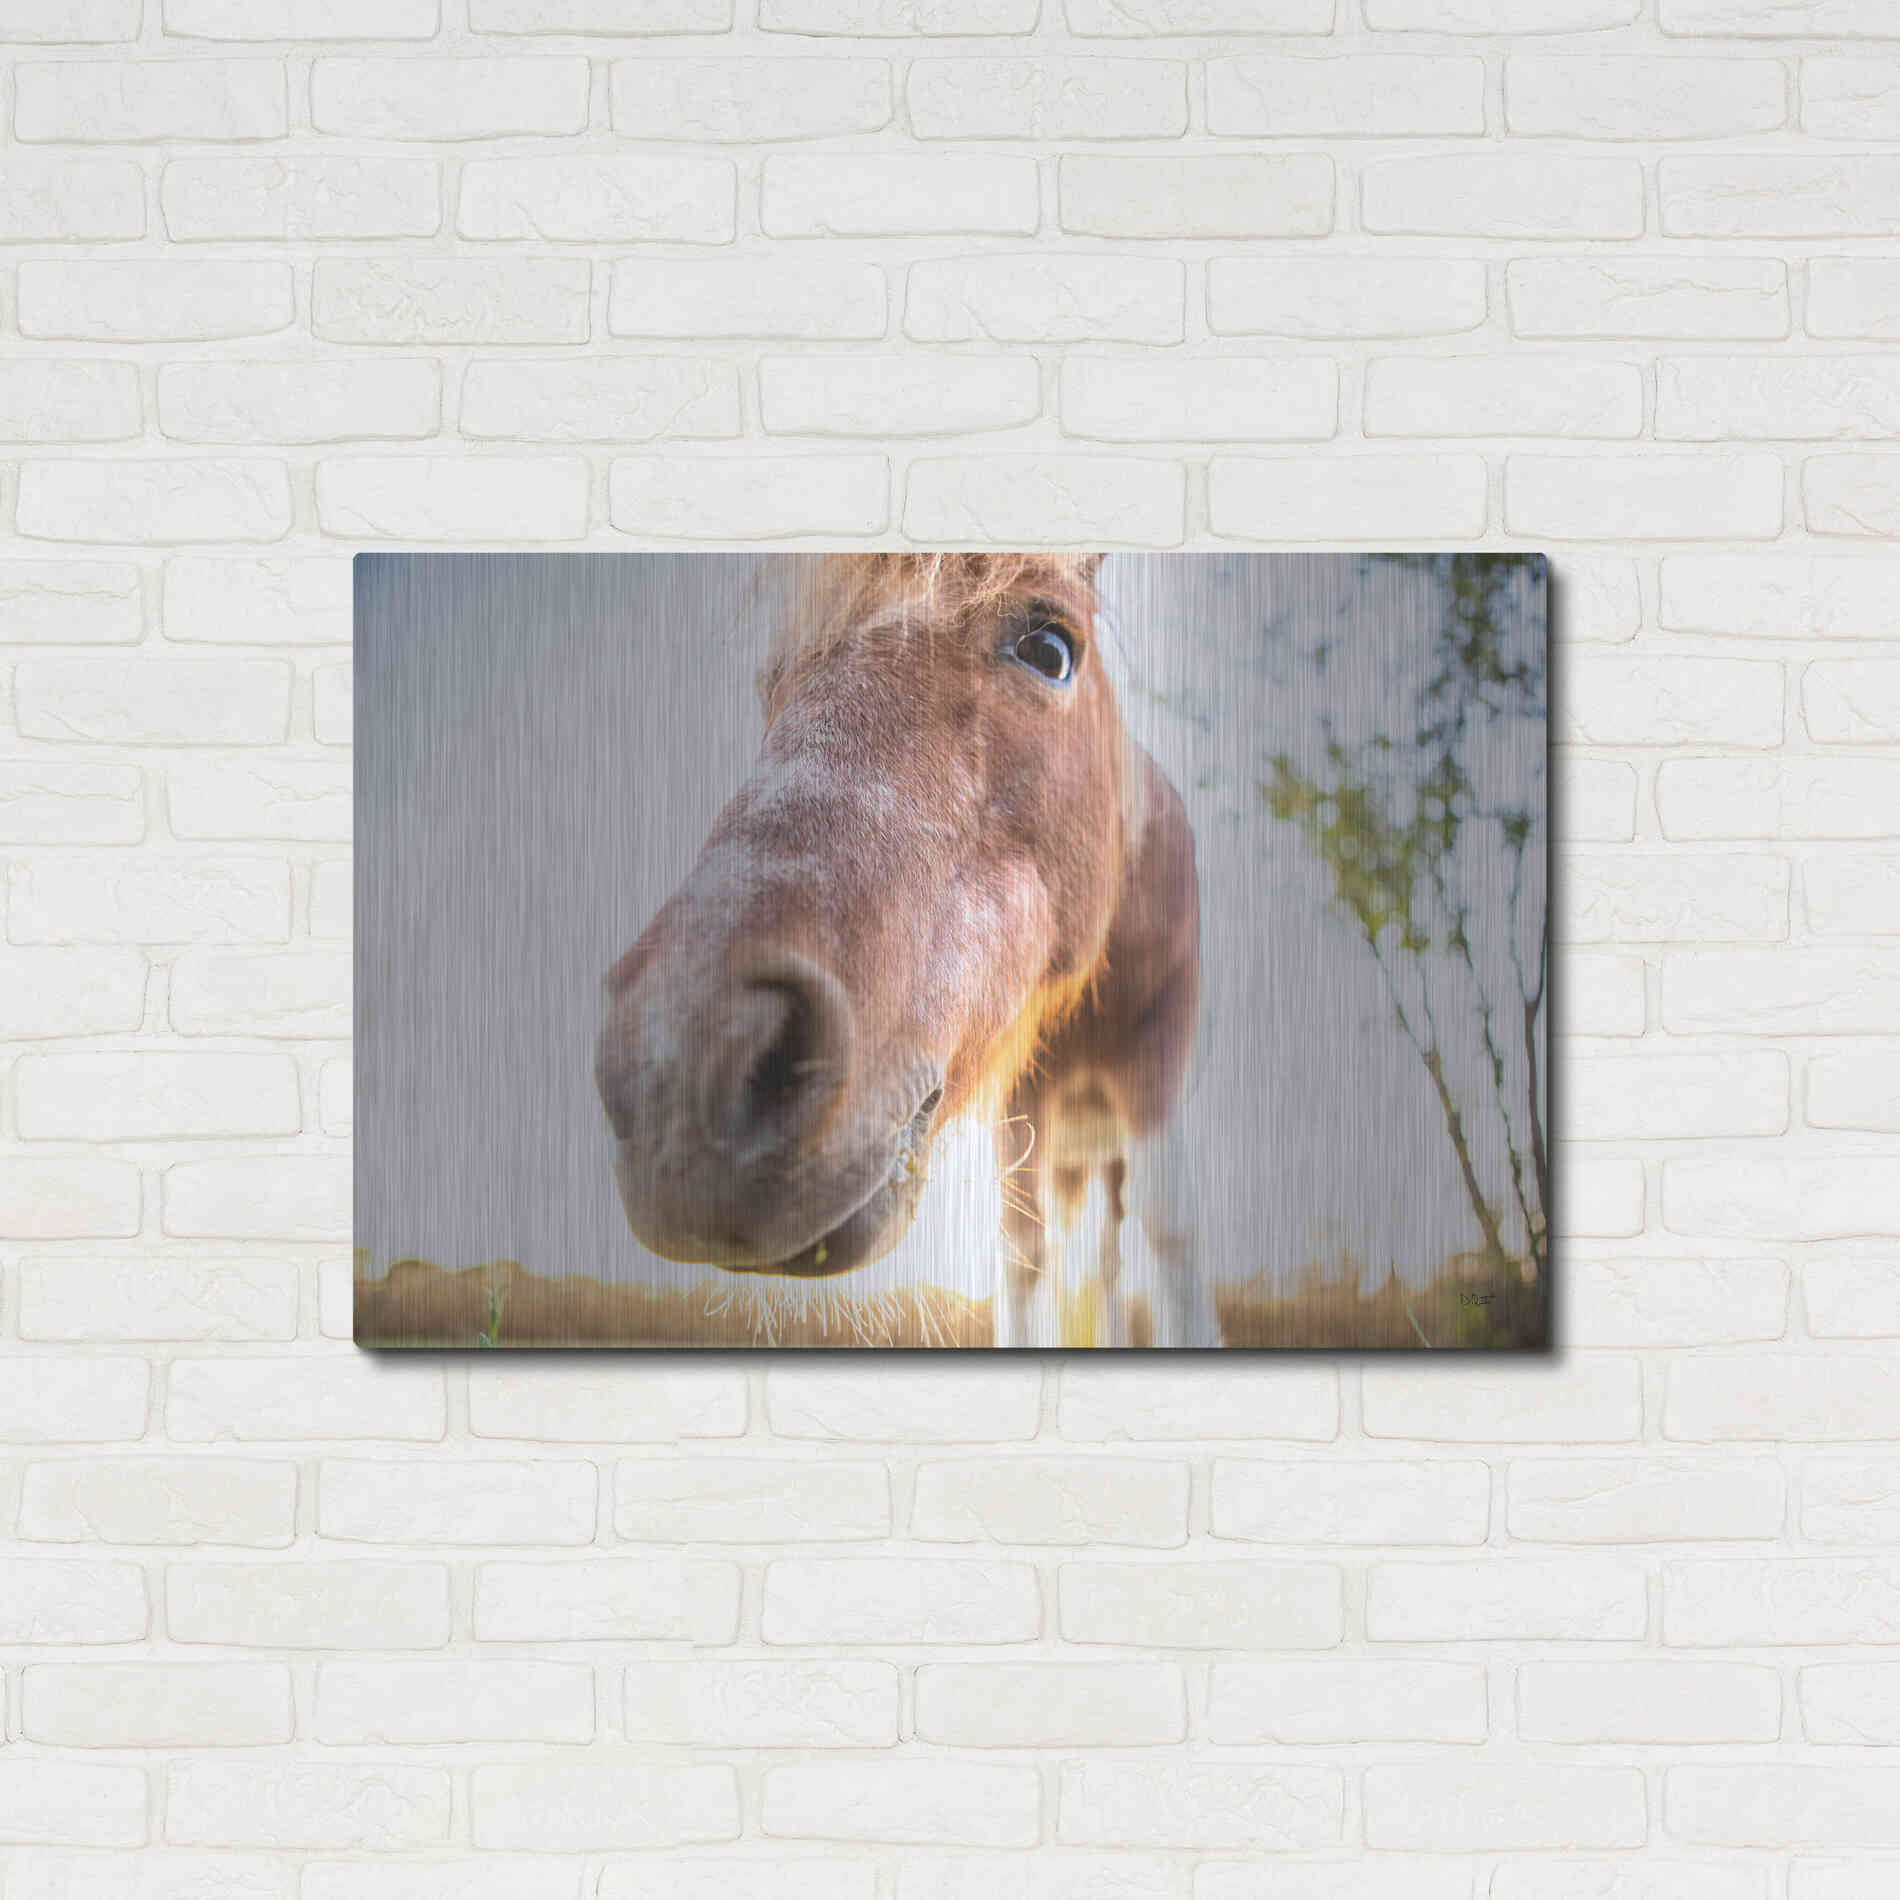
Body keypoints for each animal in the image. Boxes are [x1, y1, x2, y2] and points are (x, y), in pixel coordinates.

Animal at [592, 552, 1217, 1349]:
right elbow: (1021, 1258)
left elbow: (1170, 1241)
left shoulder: (1153, 1070)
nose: (676, 1072)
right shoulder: (1018, 1113)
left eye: (1049, 649)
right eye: (774, 680)